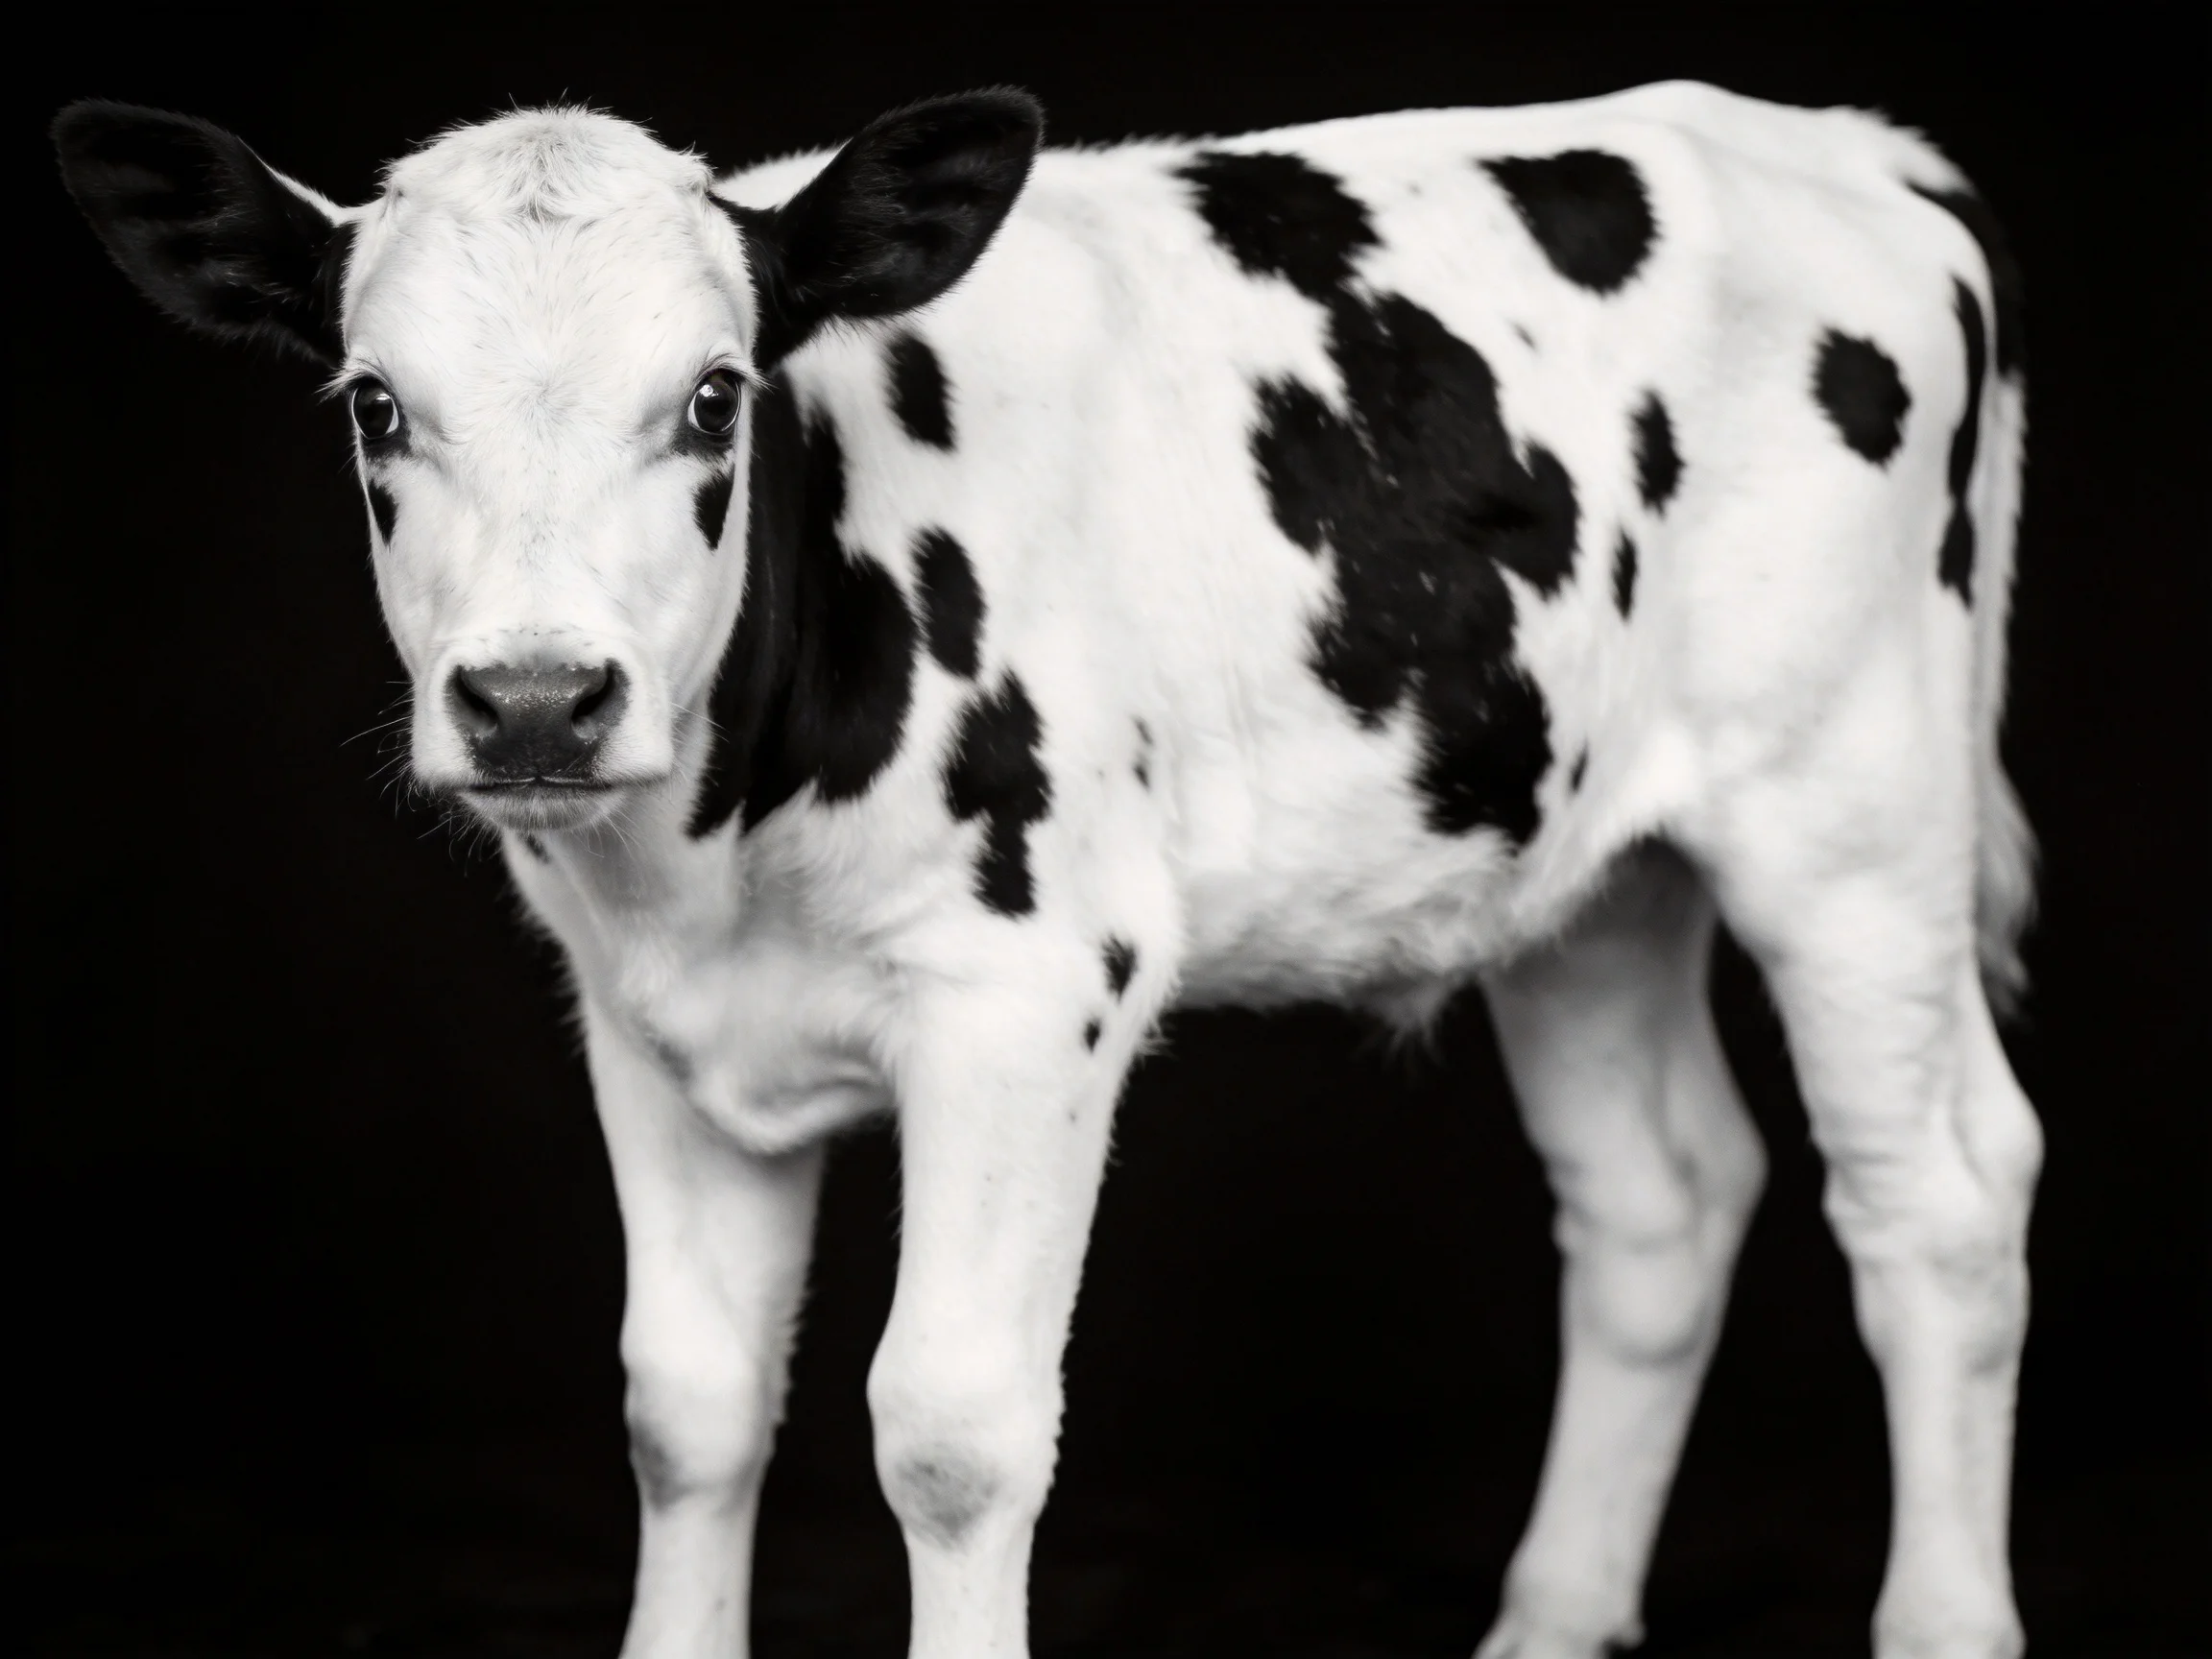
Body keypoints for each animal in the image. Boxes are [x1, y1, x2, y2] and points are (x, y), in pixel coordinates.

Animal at [54, 77, 2037, 1659]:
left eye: (709, 398)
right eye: (377, 408)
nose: (536, 697)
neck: (718, 846)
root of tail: (1842, 151)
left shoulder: (1027, 989)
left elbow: (950, 1426)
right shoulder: (638, 1018)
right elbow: (685, 1405)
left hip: (1852, 806)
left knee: (1935, 1198)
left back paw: (1939, 1616)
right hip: (1580, 864)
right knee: (1654, 1198)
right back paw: (1547, 1621)